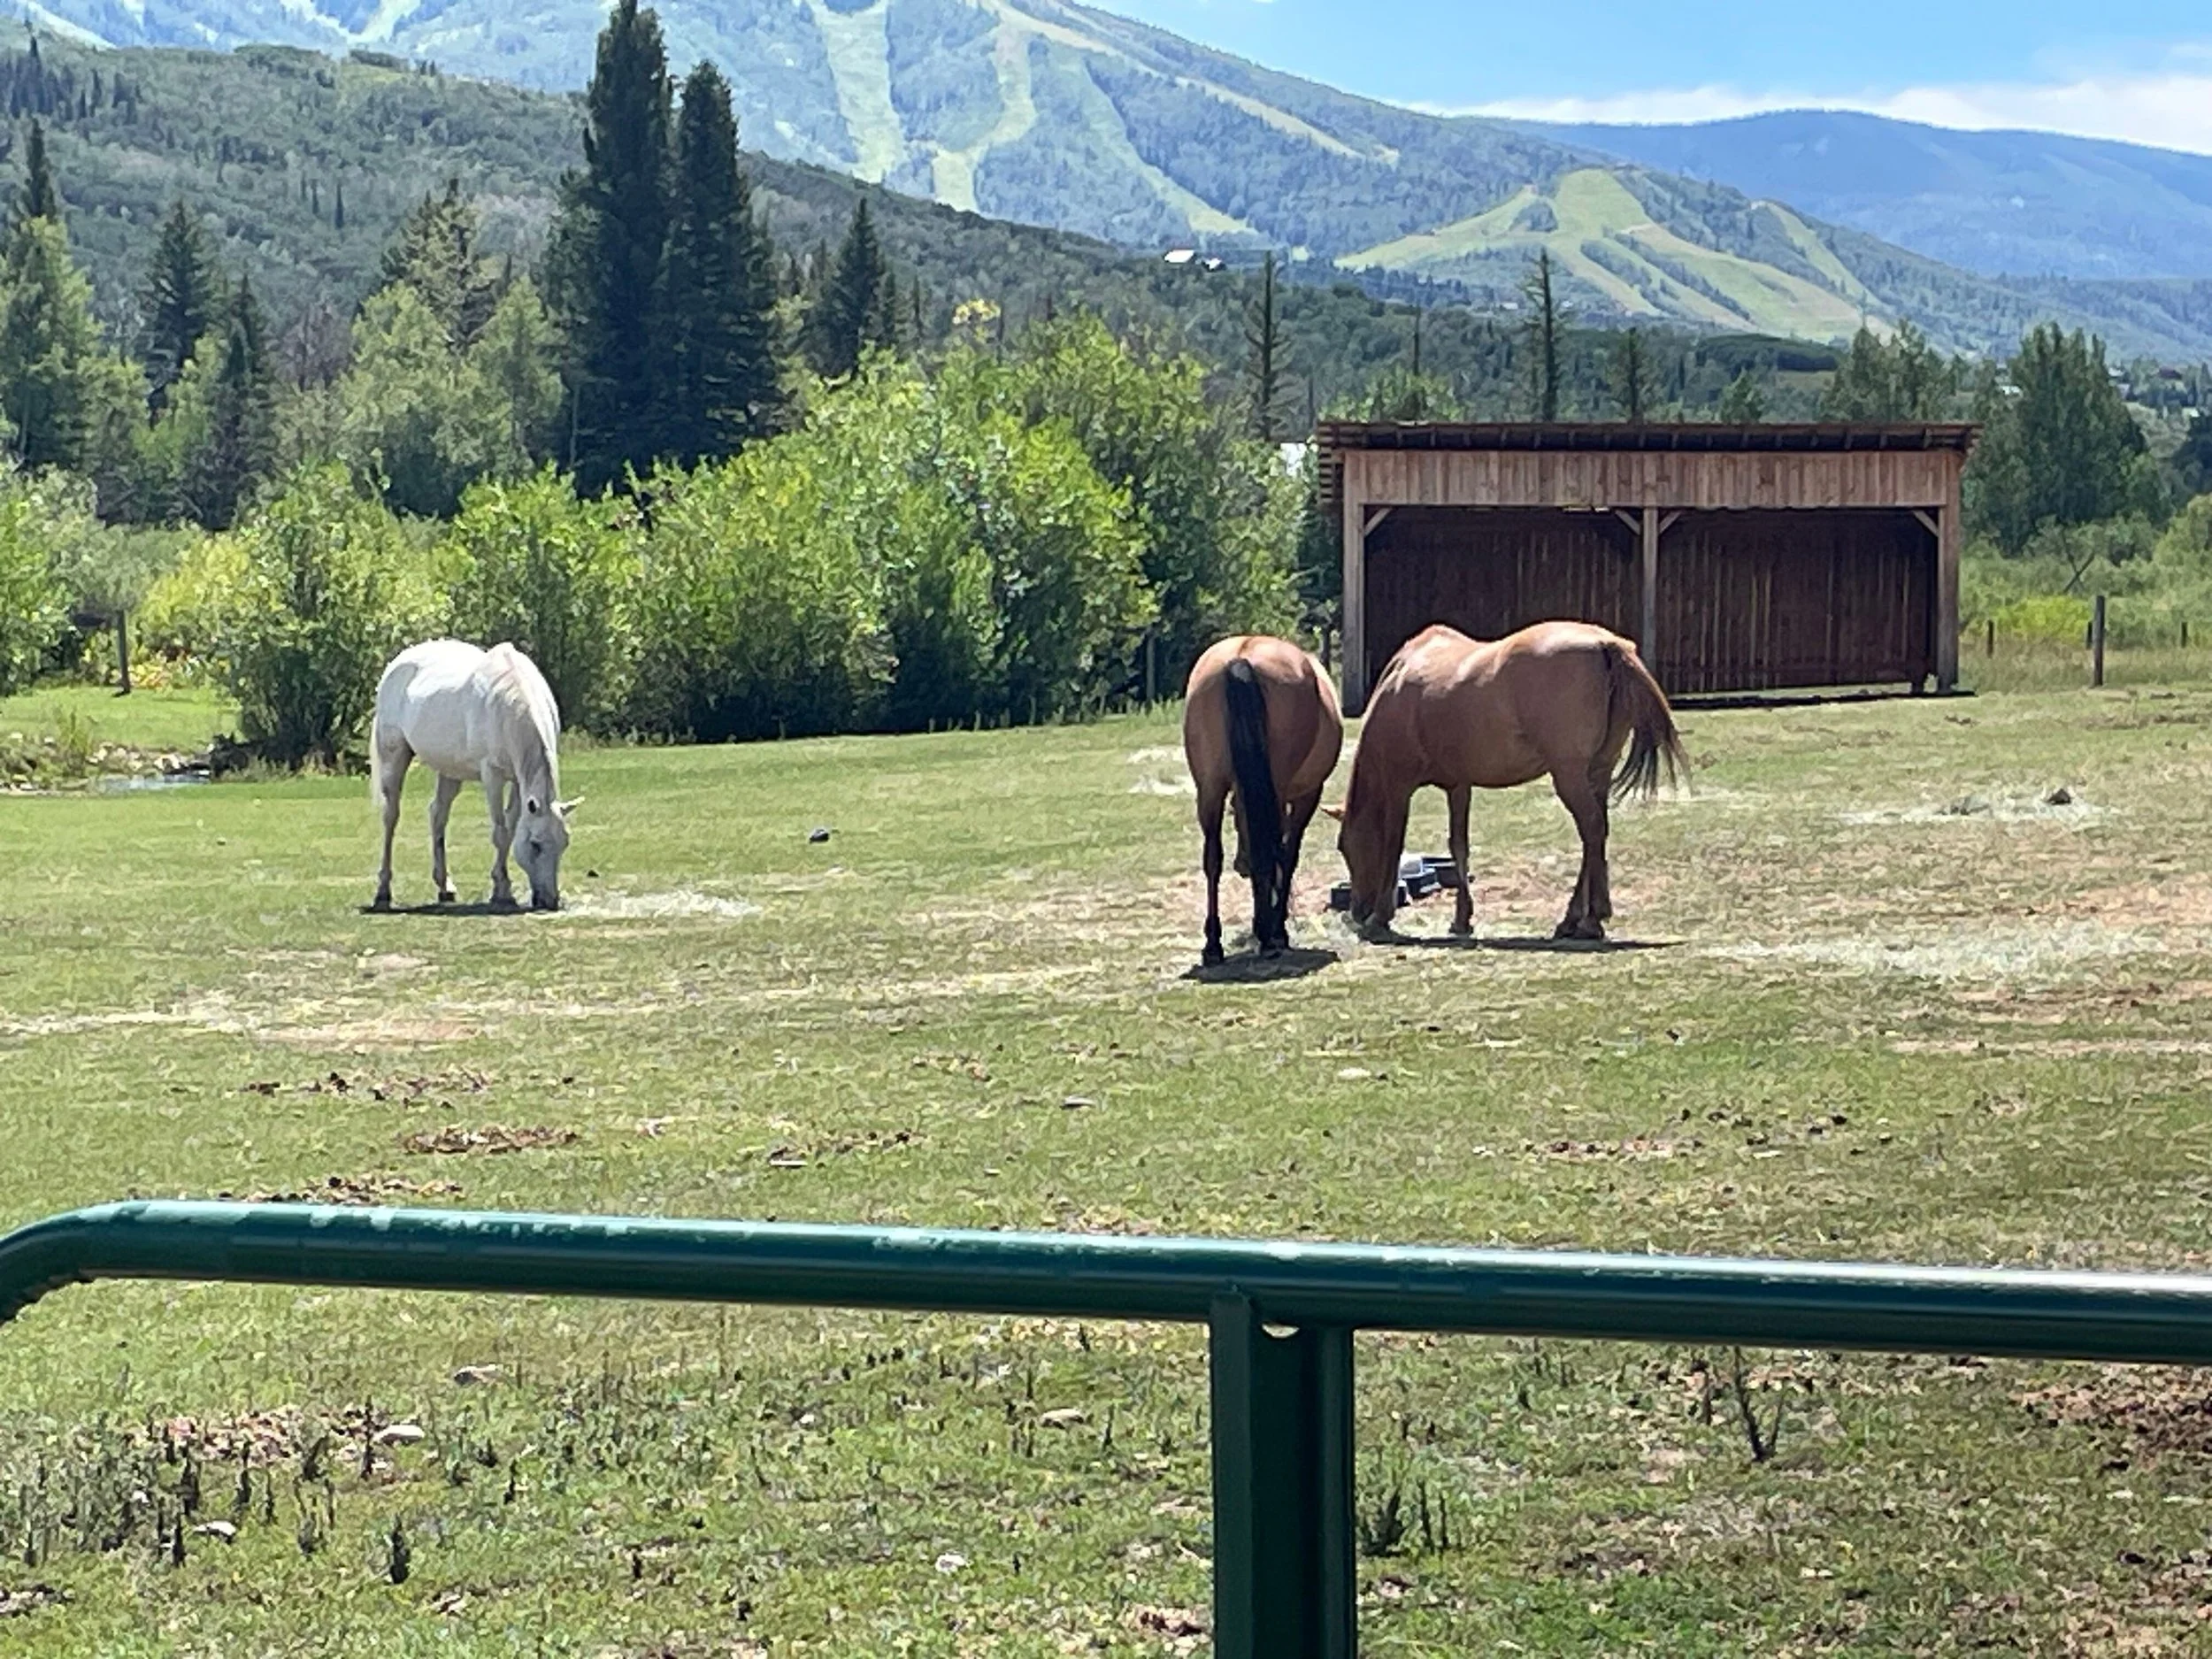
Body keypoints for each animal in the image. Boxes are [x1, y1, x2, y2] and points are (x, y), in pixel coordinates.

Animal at [370, 640, 578, 913]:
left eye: (564, 843)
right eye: (535, 844)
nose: (550, 901)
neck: (509, 704)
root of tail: (397, 663)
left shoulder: (517, 781)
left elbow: (510, 827)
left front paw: (500, 885)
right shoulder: (492, 777)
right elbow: (500, 832)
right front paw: (503, 892)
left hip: (449, 770)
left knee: (438, 814)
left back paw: (445, 886)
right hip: (394, 757)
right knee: (390, 817)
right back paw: (383, 892)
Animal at [1181, 635, 1344, 964]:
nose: (1241, 866)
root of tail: (1242, 656)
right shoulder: (1306, 796)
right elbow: (1287, 856)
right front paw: (1277, 928)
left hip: (1209, 789)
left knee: (1212, 859)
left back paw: (1213, 945)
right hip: (1275, 789)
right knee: (1268, 852)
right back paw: (1268, 937)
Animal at [1329, 621, 1684, 942]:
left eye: (1344, 846)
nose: (1357, 910)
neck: (1399, 680)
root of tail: (1606, 644)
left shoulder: (1398, 787)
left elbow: (1393, 844)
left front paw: (1381, 917)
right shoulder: (1459, 786)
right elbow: (1459, 846)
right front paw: (1462, 919)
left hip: (1569, 776)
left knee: (1592, 829)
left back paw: (1590, 919)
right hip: (1596, 774)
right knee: (1595, 835)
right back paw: (1575, 919)